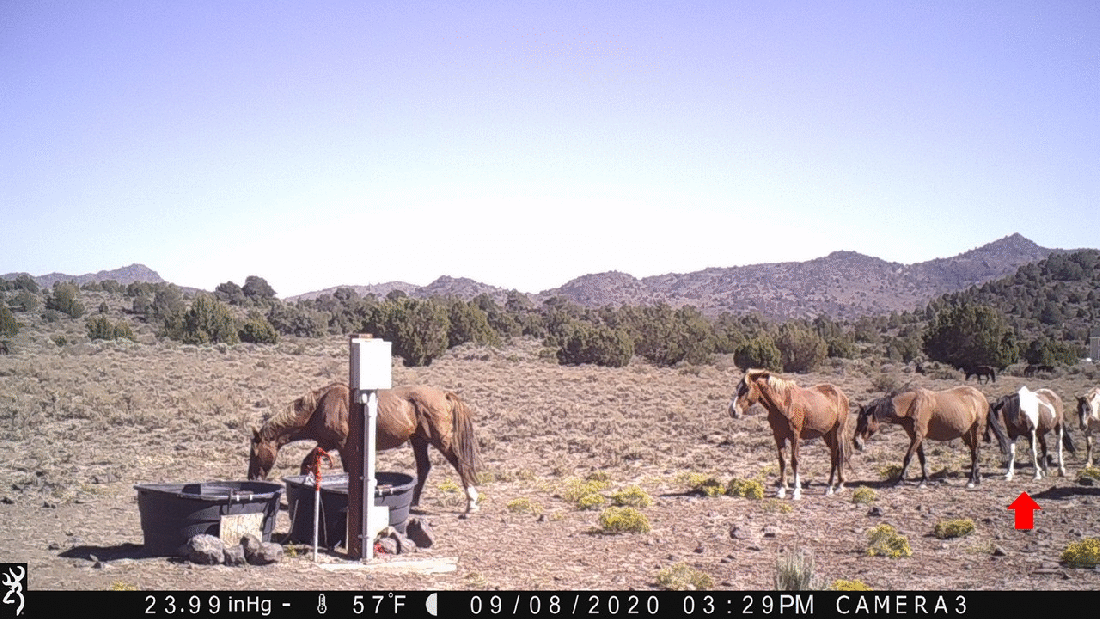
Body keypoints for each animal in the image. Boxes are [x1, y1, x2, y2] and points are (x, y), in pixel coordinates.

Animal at [248, 383, 482, 513]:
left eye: (255, 453)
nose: (252, 477)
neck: (322, 405)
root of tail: (444, 395)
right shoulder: (326, 443)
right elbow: (307, 463)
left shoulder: (341, 445)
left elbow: (345, 470)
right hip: (419, 440)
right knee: (424, 468)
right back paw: (414, 502)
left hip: (440, 440)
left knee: (459, 463)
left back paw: (471, 504)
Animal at [728, 369, 852, 500]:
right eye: (737, 387)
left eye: (746, 389)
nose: (732, 411)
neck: (784, 403)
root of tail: (841, 395)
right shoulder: (778, 436)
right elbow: (782, 461)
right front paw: (782, 489)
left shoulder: (794, 436)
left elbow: (795, 460)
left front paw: (796, 491)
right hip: (827, 434)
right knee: (837, 453)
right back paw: (838, 484)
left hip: (836, 431)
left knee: (836, 455)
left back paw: (830, 487)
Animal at [854, 386, 999, 488]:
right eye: (857, 420)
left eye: (865, 423)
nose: (856, 443)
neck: (911, 405)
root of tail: (981, 396)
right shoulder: (915, 437)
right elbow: (922, 458)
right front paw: (924, 481)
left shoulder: (917, 437)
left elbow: (907, 458)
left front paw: (900, 480)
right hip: (965, 433)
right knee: (975, 451)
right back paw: (978, 477)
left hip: (976, 430)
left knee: (975, 453)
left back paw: (971, 481)